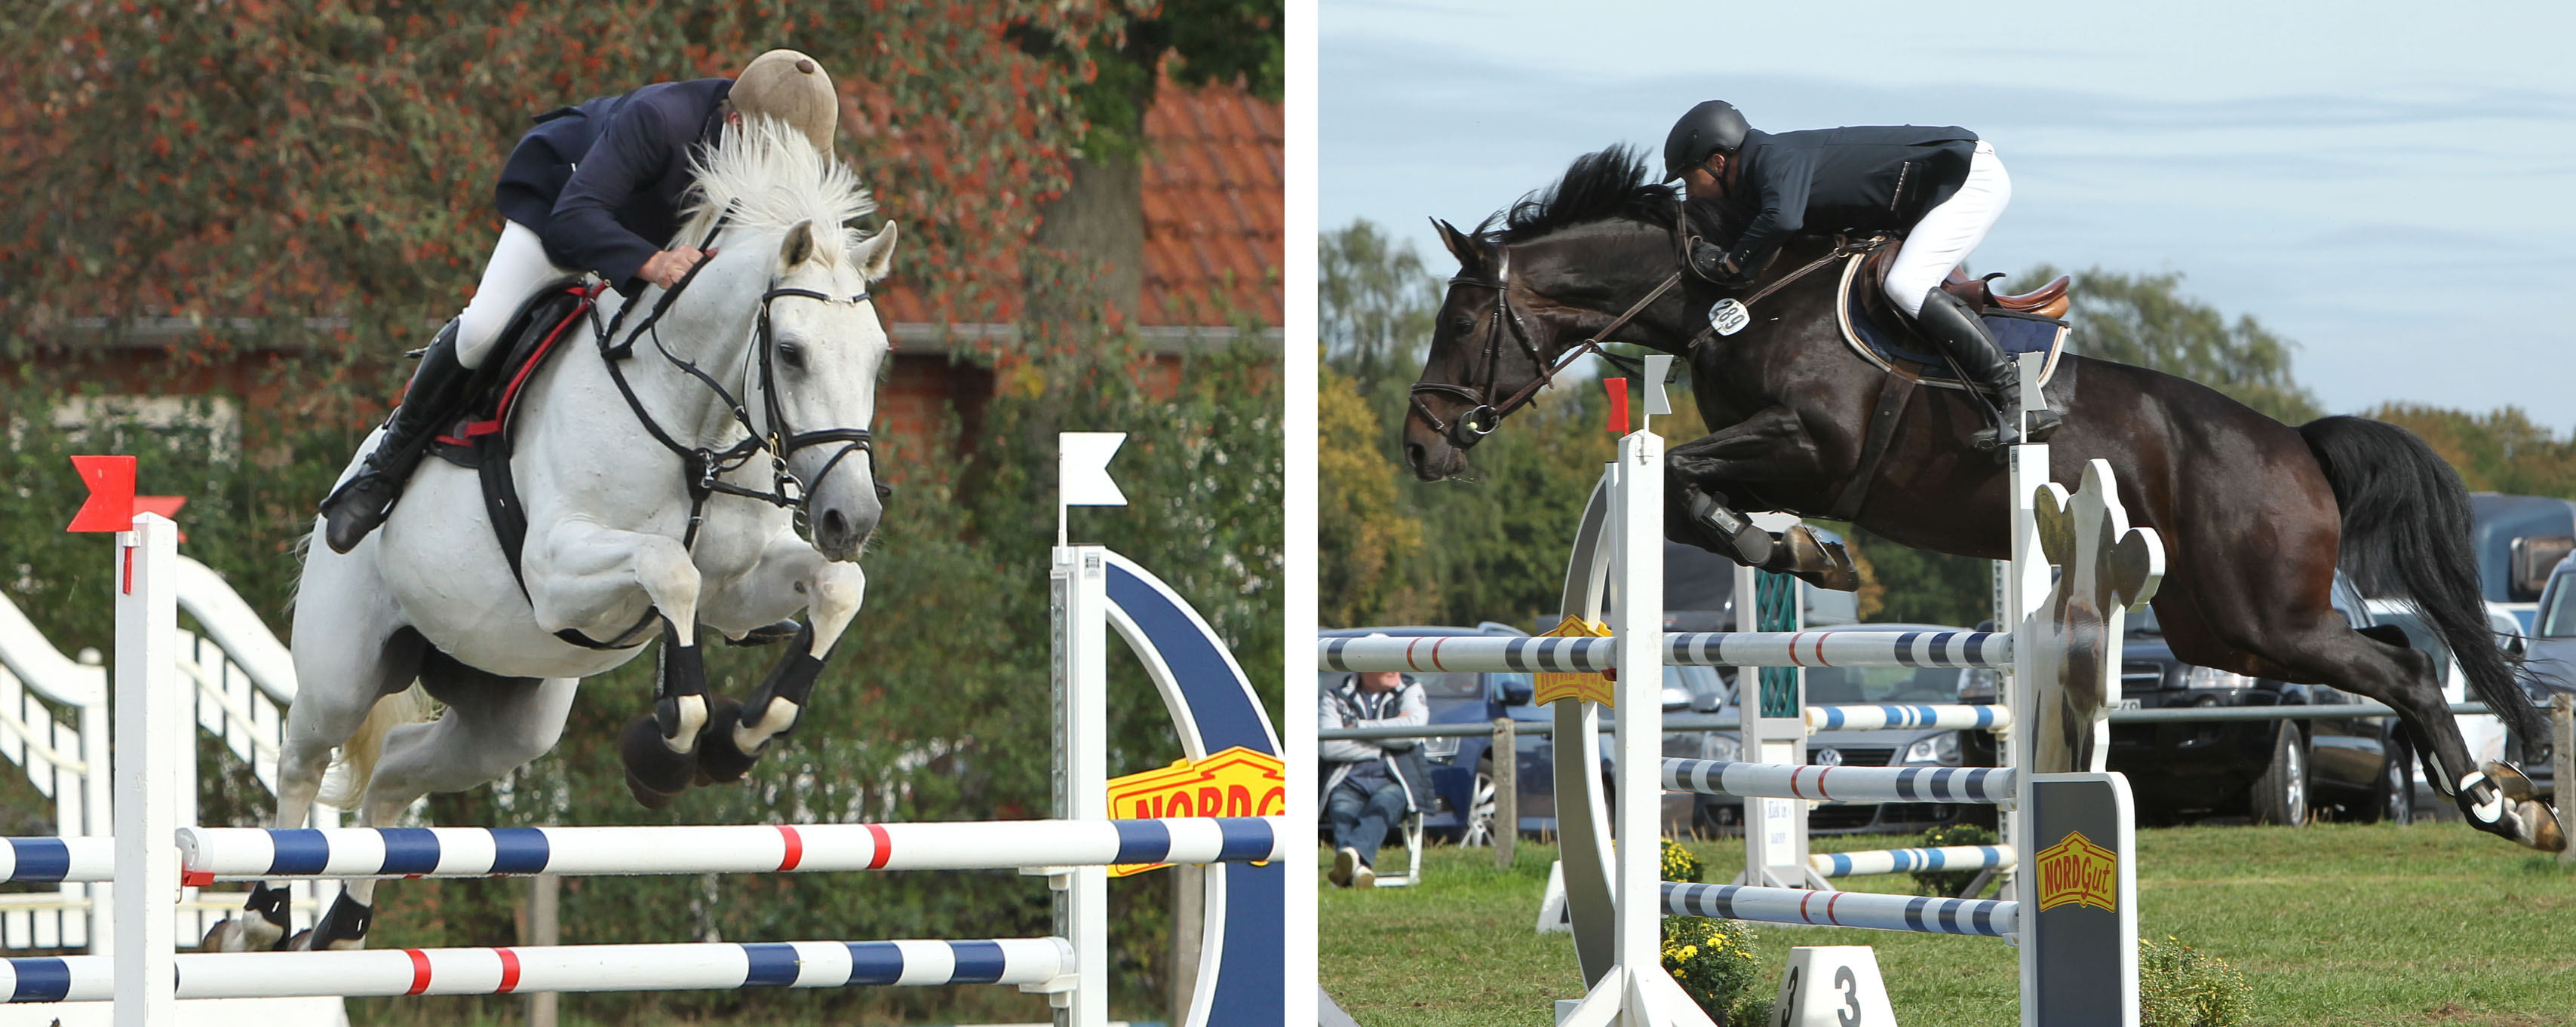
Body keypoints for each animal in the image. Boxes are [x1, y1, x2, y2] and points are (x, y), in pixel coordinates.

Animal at [211, 122, 901, 957]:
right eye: (792, 353)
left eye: (879, 358)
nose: (849, 519)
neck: (695, 431)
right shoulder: (556, 572)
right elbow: (669, 570)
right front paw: (673, 744)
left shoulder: (738, 590)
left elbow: (836, 589)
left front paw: (741, 735)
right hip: (343, 672)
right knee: (300, 762)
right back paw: (263, 915)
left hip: (509, 720)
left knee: (398, 772)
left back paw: (345, 925)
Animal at [1401, 145, 2565, 854]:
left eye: (1459, 320)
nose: (1419, 445)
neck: (1729, 296)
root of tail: (2294, 444)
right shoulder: (1774, 455)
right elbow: (1697, 492)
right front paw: (1799, 551)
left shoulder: (1812, 447)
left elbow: (1686, 482)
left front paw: (1803, 553)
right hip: (2220, 623)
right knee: (2397, 654)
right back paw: (2505, 797)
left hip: (2259, 609)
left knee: (2403, 668)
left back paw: (2499, 806)